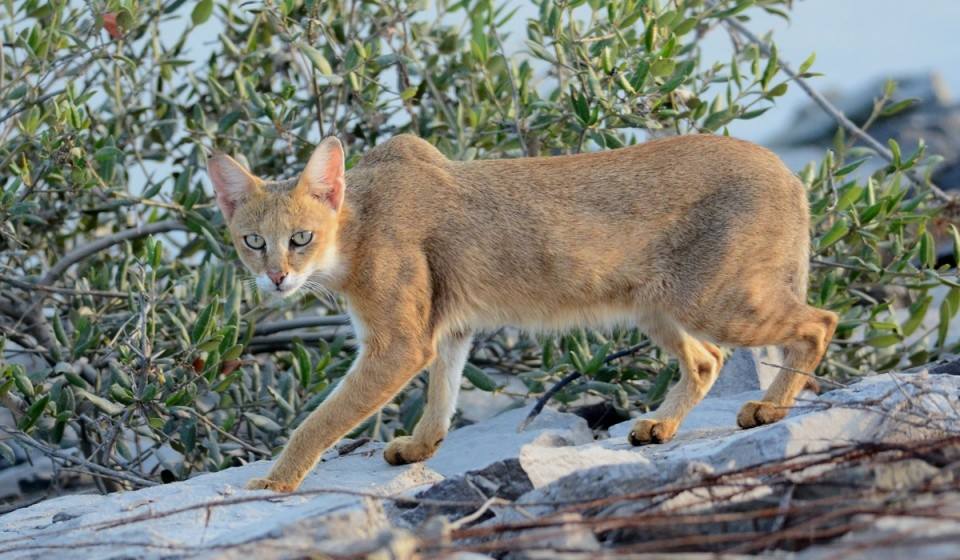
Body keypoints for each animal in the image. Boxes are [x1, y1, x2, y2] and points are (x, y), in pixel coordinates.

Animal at [208, 135, 832, 490]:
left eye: (301, 238)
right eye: (253, 242)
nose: (277, 277)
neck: (355, 230)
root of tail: (787, 170)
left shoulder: (398, 343)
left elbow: (320, 421)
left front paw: (275, 482)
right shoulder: (446, 328)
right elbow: (443, 392)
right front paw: (421, 447)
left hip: (712, 300)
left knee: (818, 322)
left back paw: (769, 409)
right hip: (658, 305)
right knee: (707, 360)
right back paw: (660, 426)